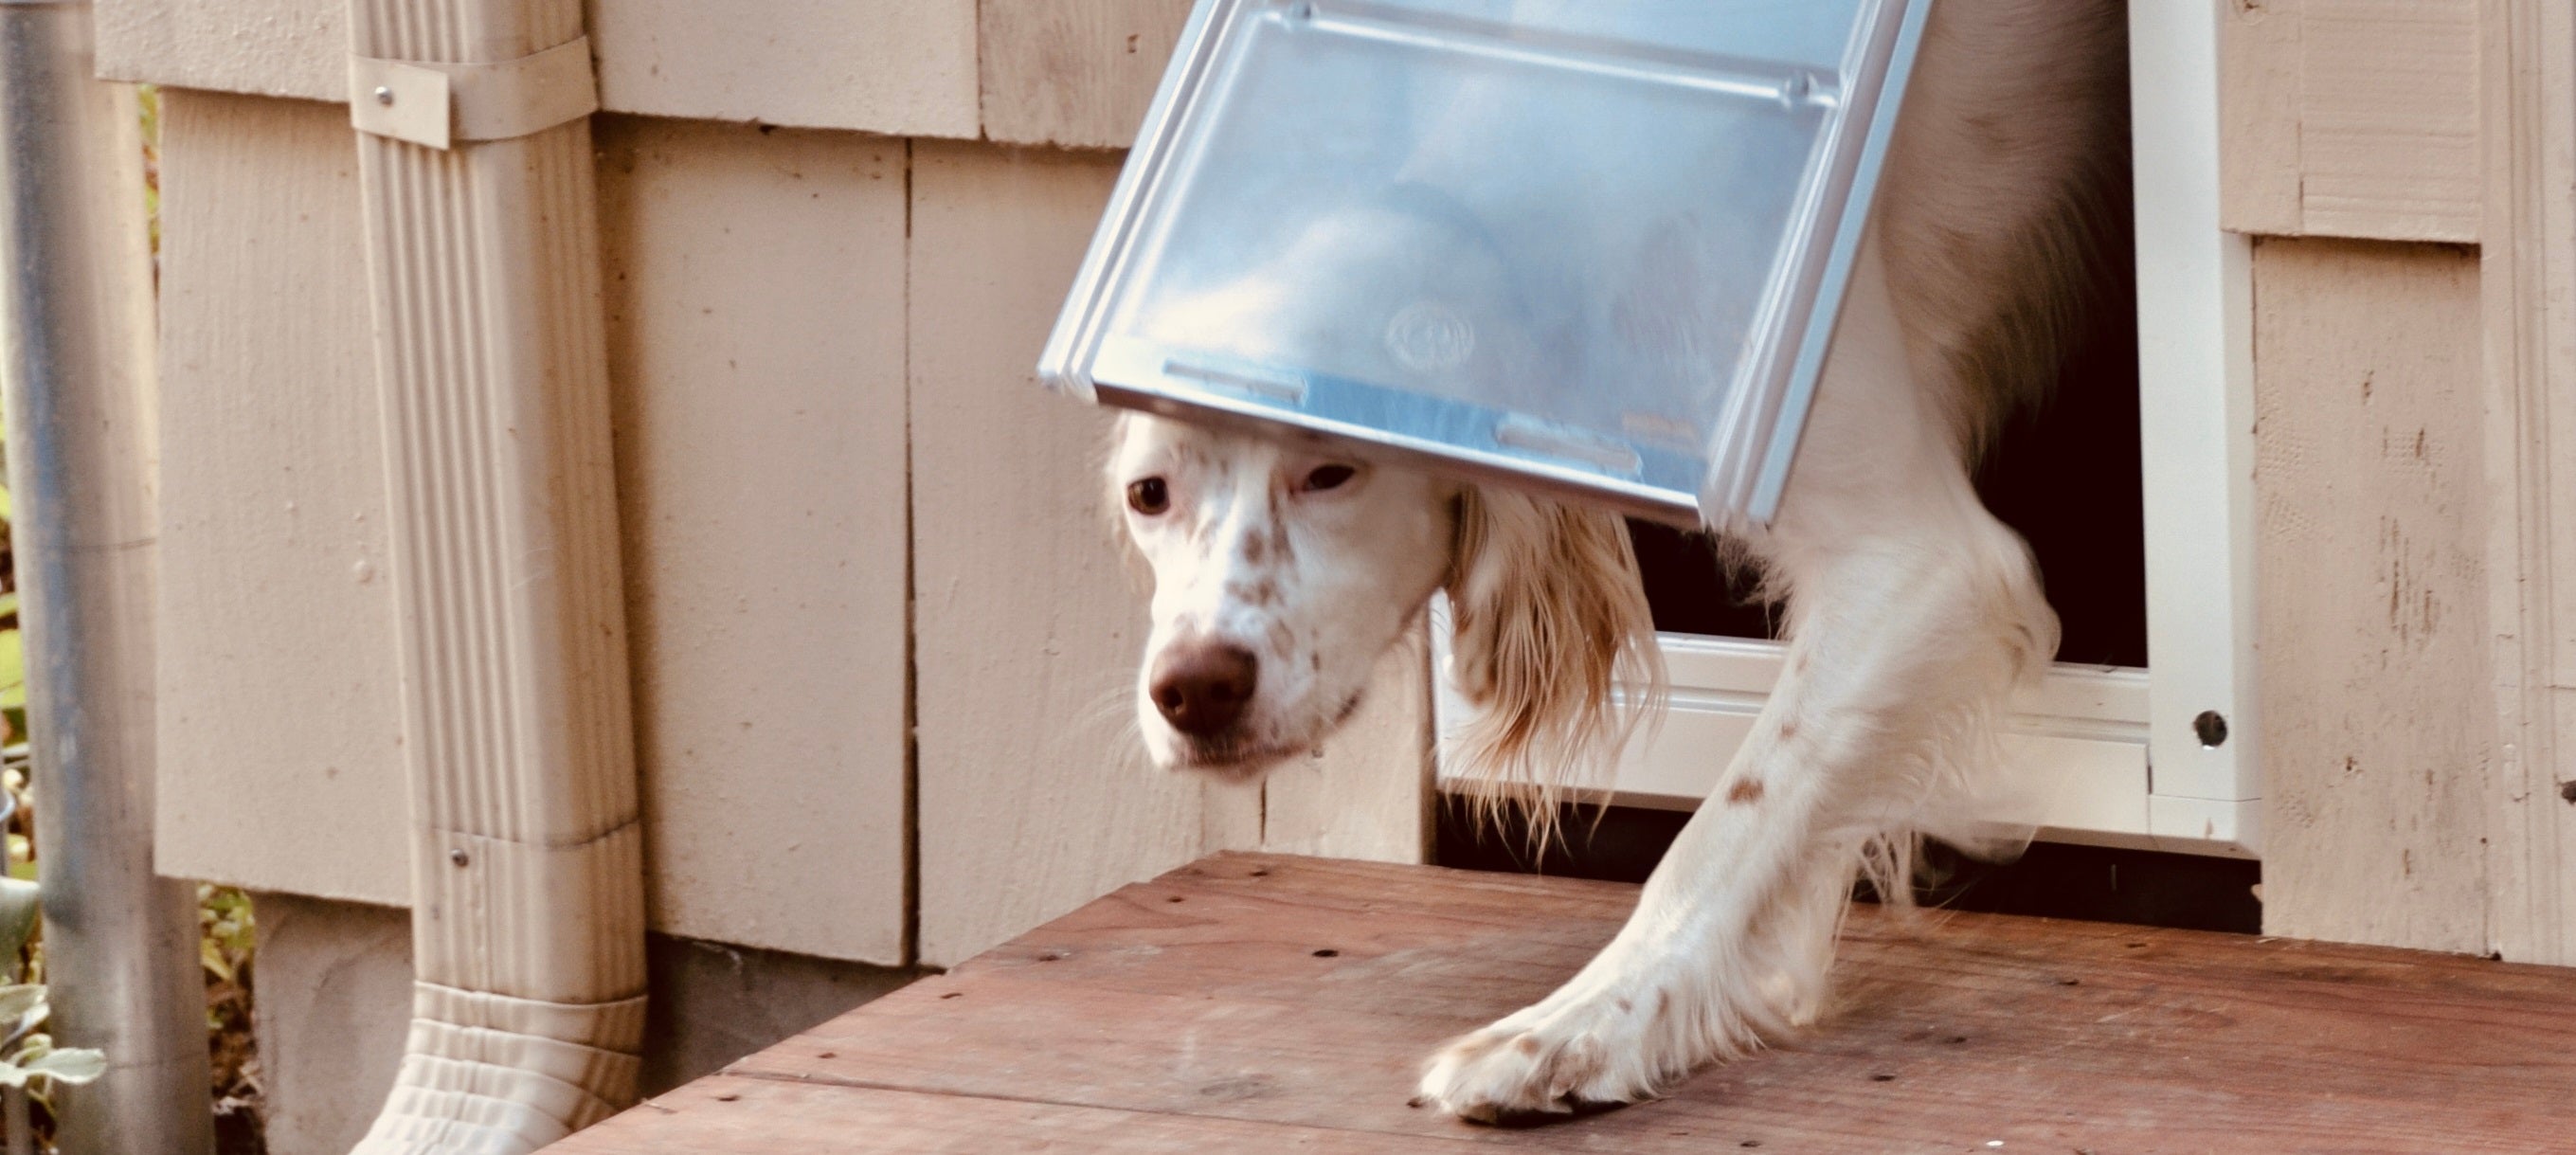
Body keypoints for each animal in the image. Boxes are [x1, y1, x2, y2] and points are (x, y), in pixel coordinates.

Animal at [1112, 0, 2133, 1118]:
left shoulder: (1921, 563)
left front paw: (1582, 1025)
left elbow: (1729, 822)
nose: (1193, 692)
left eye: (1332, 472)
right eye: (1147, 494)